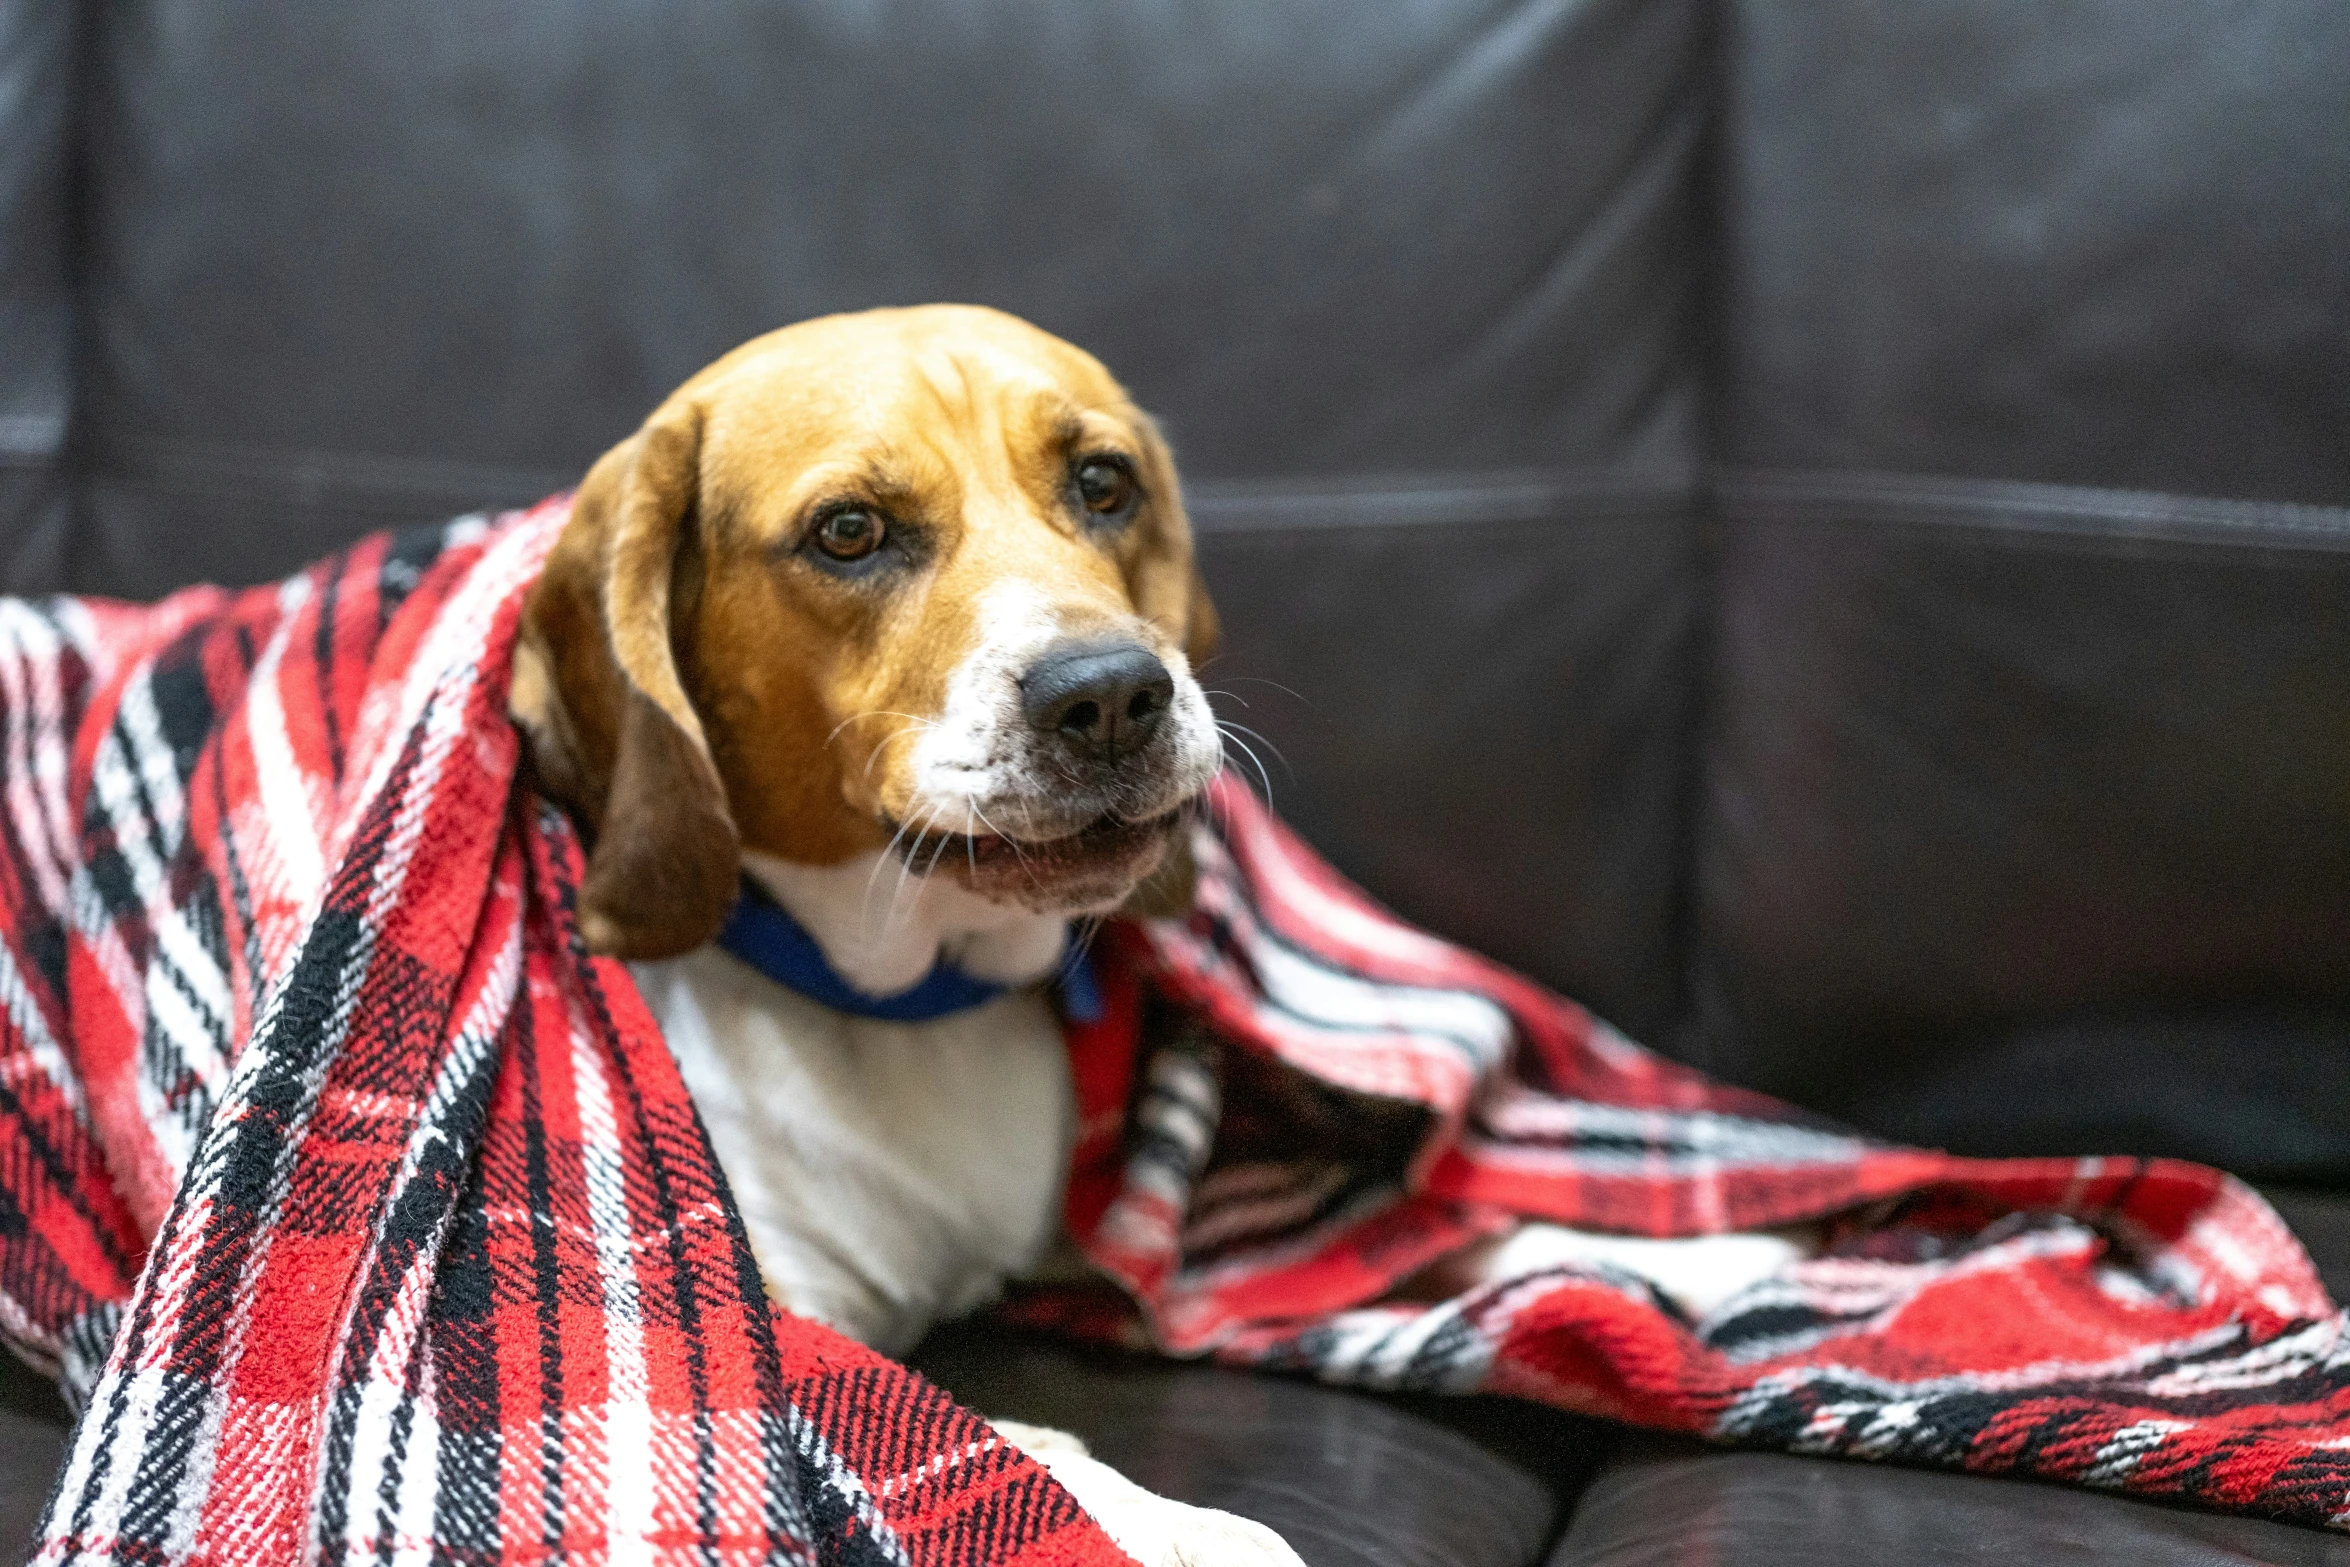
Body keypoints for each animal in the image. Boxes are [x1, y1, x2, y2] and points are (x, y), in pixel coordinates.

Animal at [505, 305, 1804, 1567]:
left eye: (1102, 482)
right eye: (849, 532)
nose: (1112, 694)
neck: (912, 1004)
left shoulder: (1109, 1223)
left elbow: (1384, 1222)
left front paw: (1700, 1256)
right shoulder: (759, 1316)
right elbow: (997, 1436)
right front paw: (1179, 1524)